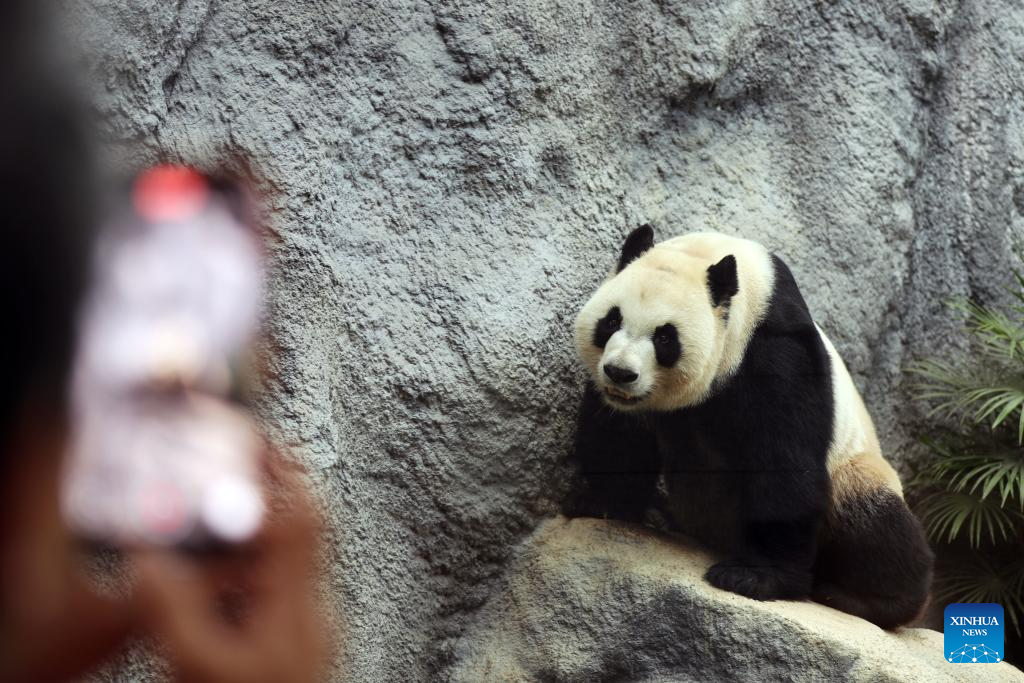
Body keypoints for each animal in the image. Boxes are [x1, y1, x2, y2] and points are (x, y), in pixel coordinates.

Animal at [569, 225, 937, 630]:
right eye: (611, 321)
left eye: (664, 337)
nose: (620, 372)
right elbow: (620, 438)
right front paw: (603, 503)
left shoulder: (773, 349)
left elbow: (784, 461)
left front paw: (754, 577)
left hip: (853, 472)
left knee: (876, 525)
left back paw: (871, 600)